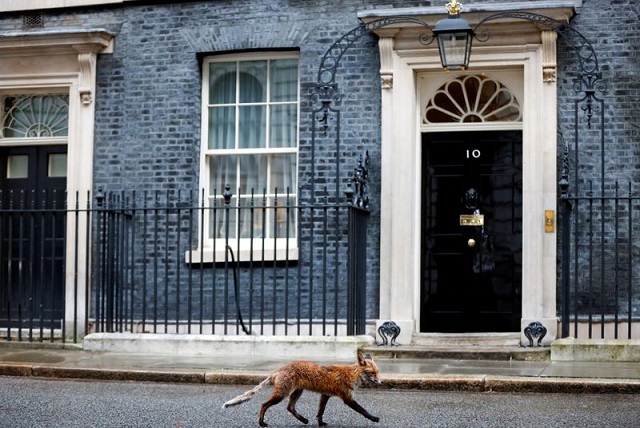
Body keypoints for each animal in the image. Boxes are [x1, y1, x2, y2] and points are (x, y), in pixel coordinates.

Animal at [222, 352, 380, 426]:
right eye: (372, 373)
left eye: (378, 372)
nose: (379, 381)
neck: (352, 375)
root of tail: (279, 369)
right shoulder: (347, 398)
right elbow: (363, 411)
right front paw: (374, 418)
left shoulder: (325, 395)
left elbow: (320, 412)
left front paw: (320, 424)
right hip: (282, 394)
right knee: (264, 405)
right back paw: (261, 423)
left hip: (297, 392)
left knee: (290, 407)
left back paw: (303, 420)